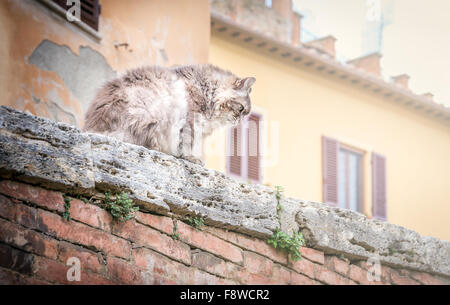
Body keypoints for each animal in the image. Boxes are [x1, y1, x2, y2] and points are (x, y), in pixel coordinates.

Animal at [82, 62, 255, 165]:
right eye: (241, 109)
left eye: (246, 114)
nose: (240, 121)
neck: (208, 90)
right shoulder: (190, 120)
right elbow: (187, 144)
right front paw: (191, 158)